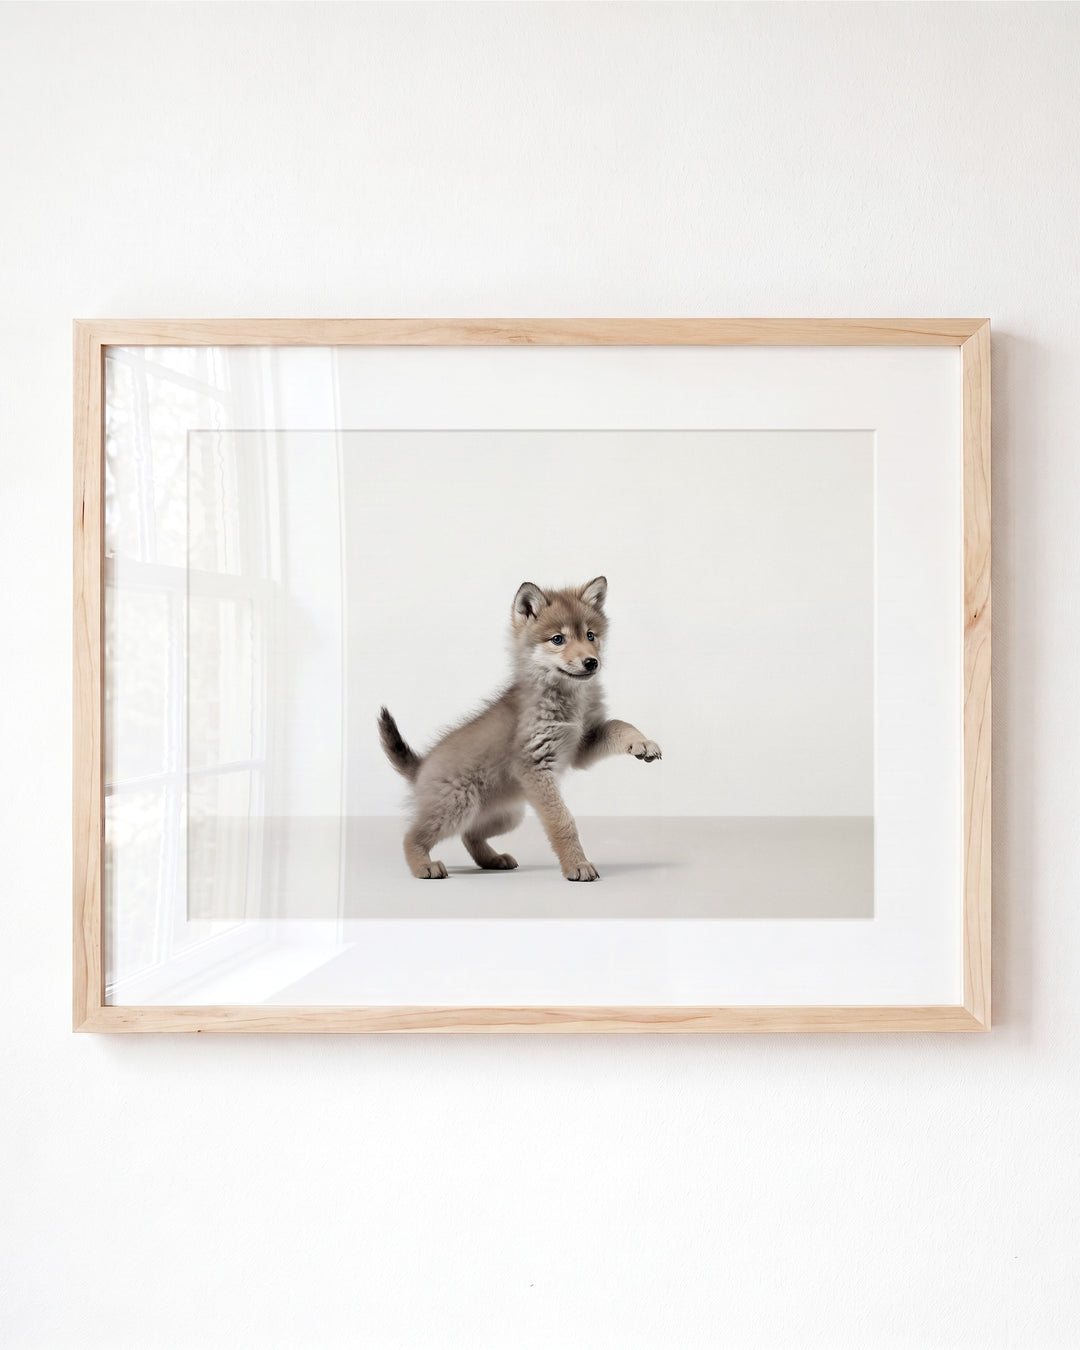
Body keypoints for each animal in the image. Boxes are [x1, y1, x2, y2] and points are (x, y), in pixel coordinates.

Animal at [377, 576, 661, 881]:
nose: (591, 662)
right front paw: (577, 864)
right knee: (412, 835)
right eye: (558, 639)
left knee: (469, 835)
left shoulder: (582, 745)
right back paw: (423, 866)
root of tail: (421, 766)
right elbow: (562, 821)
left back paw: (492, 859)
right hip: (457, 807)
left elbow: (619, 724)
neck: (569, 699)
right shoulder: (536, 766)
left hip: (506, 816)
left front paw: (642, 742)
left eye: (590, 635)